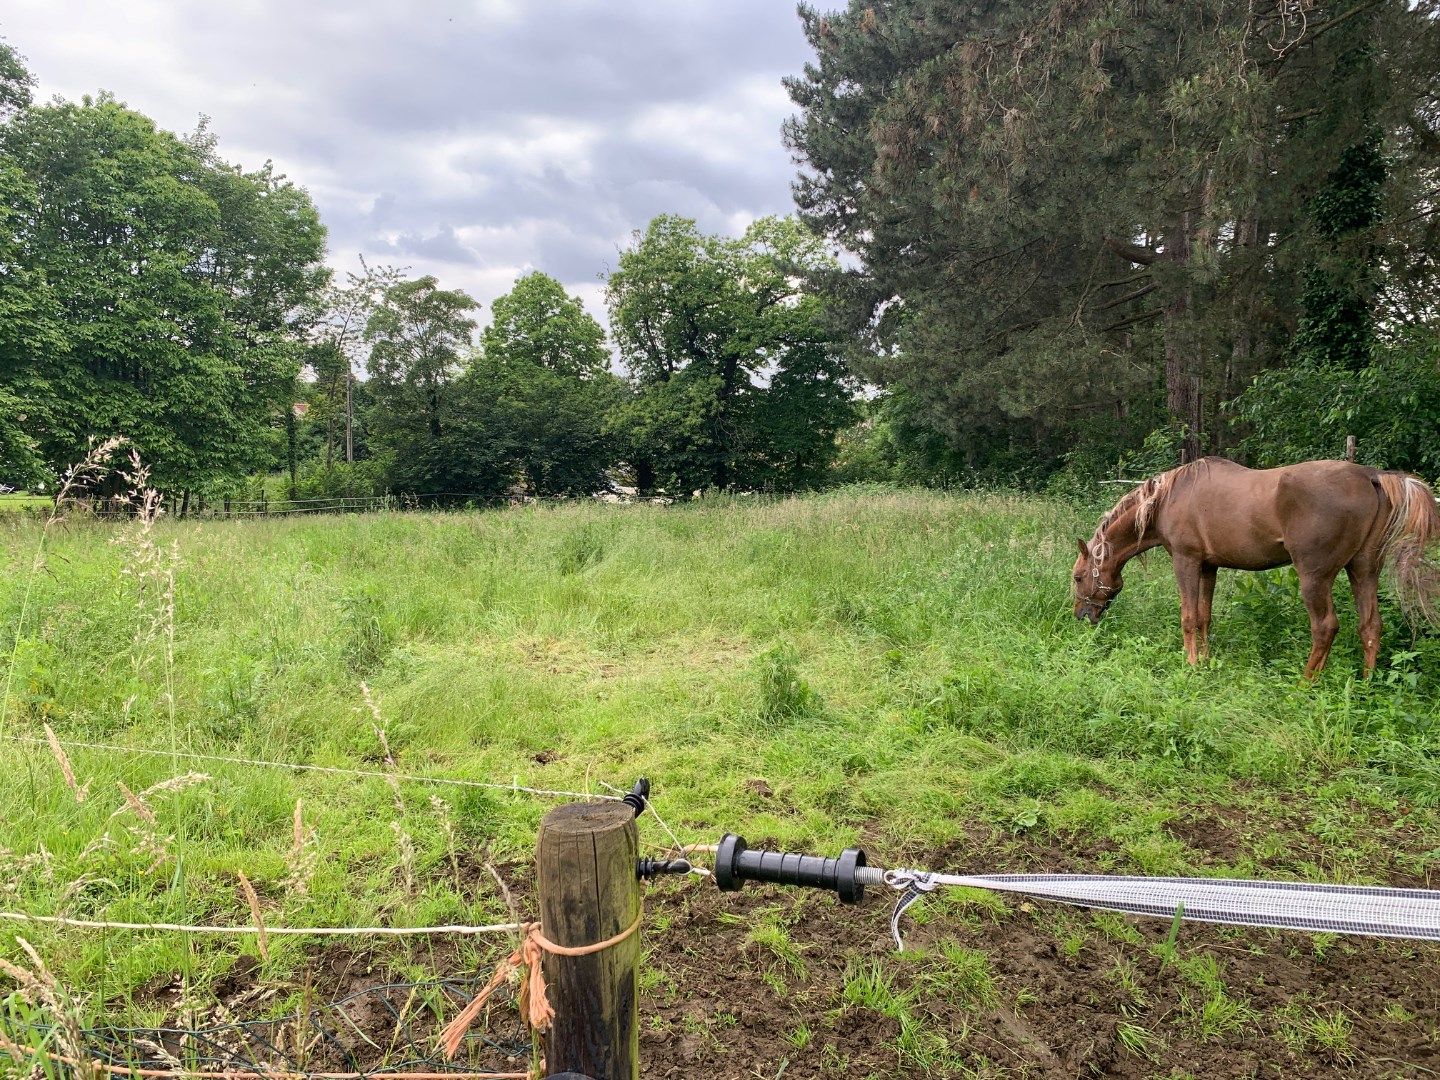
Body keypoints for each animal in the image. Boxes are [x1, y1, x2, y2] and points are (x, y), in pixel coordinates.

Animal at [1071, 460, 1440, 679]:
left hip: (1314, 578)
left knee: (1325, 627)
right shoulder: (1208, 567)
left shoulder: (1186, 561)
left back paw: (1307, 682)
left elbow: (1188, 617)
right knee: (1370, 627)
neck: (1166, 499)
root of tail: (1371, 476)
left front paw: (1191, 665)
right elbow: (1204, 618)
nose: (1081, 616)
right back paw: (1364, 682)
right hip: (1363, 571)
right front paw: (1206, 662)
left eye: (1077, 577)